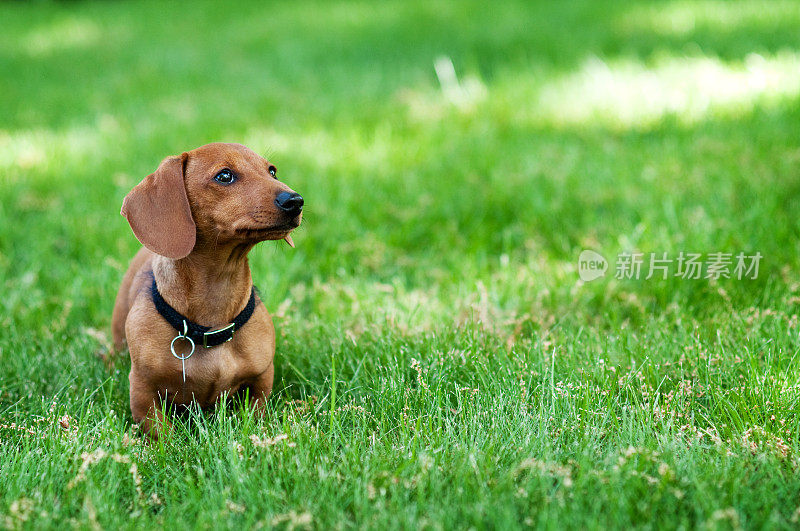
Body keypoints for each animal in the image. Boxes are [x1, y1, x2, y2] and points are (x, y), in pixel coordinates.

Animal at [111, 141, 302, 436]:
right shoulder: (143, 389)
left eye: (272, 170)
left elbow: (256, 412)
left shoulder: (261, 378)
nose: (295, 201)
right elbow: (159, 431)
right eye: (224, 176)